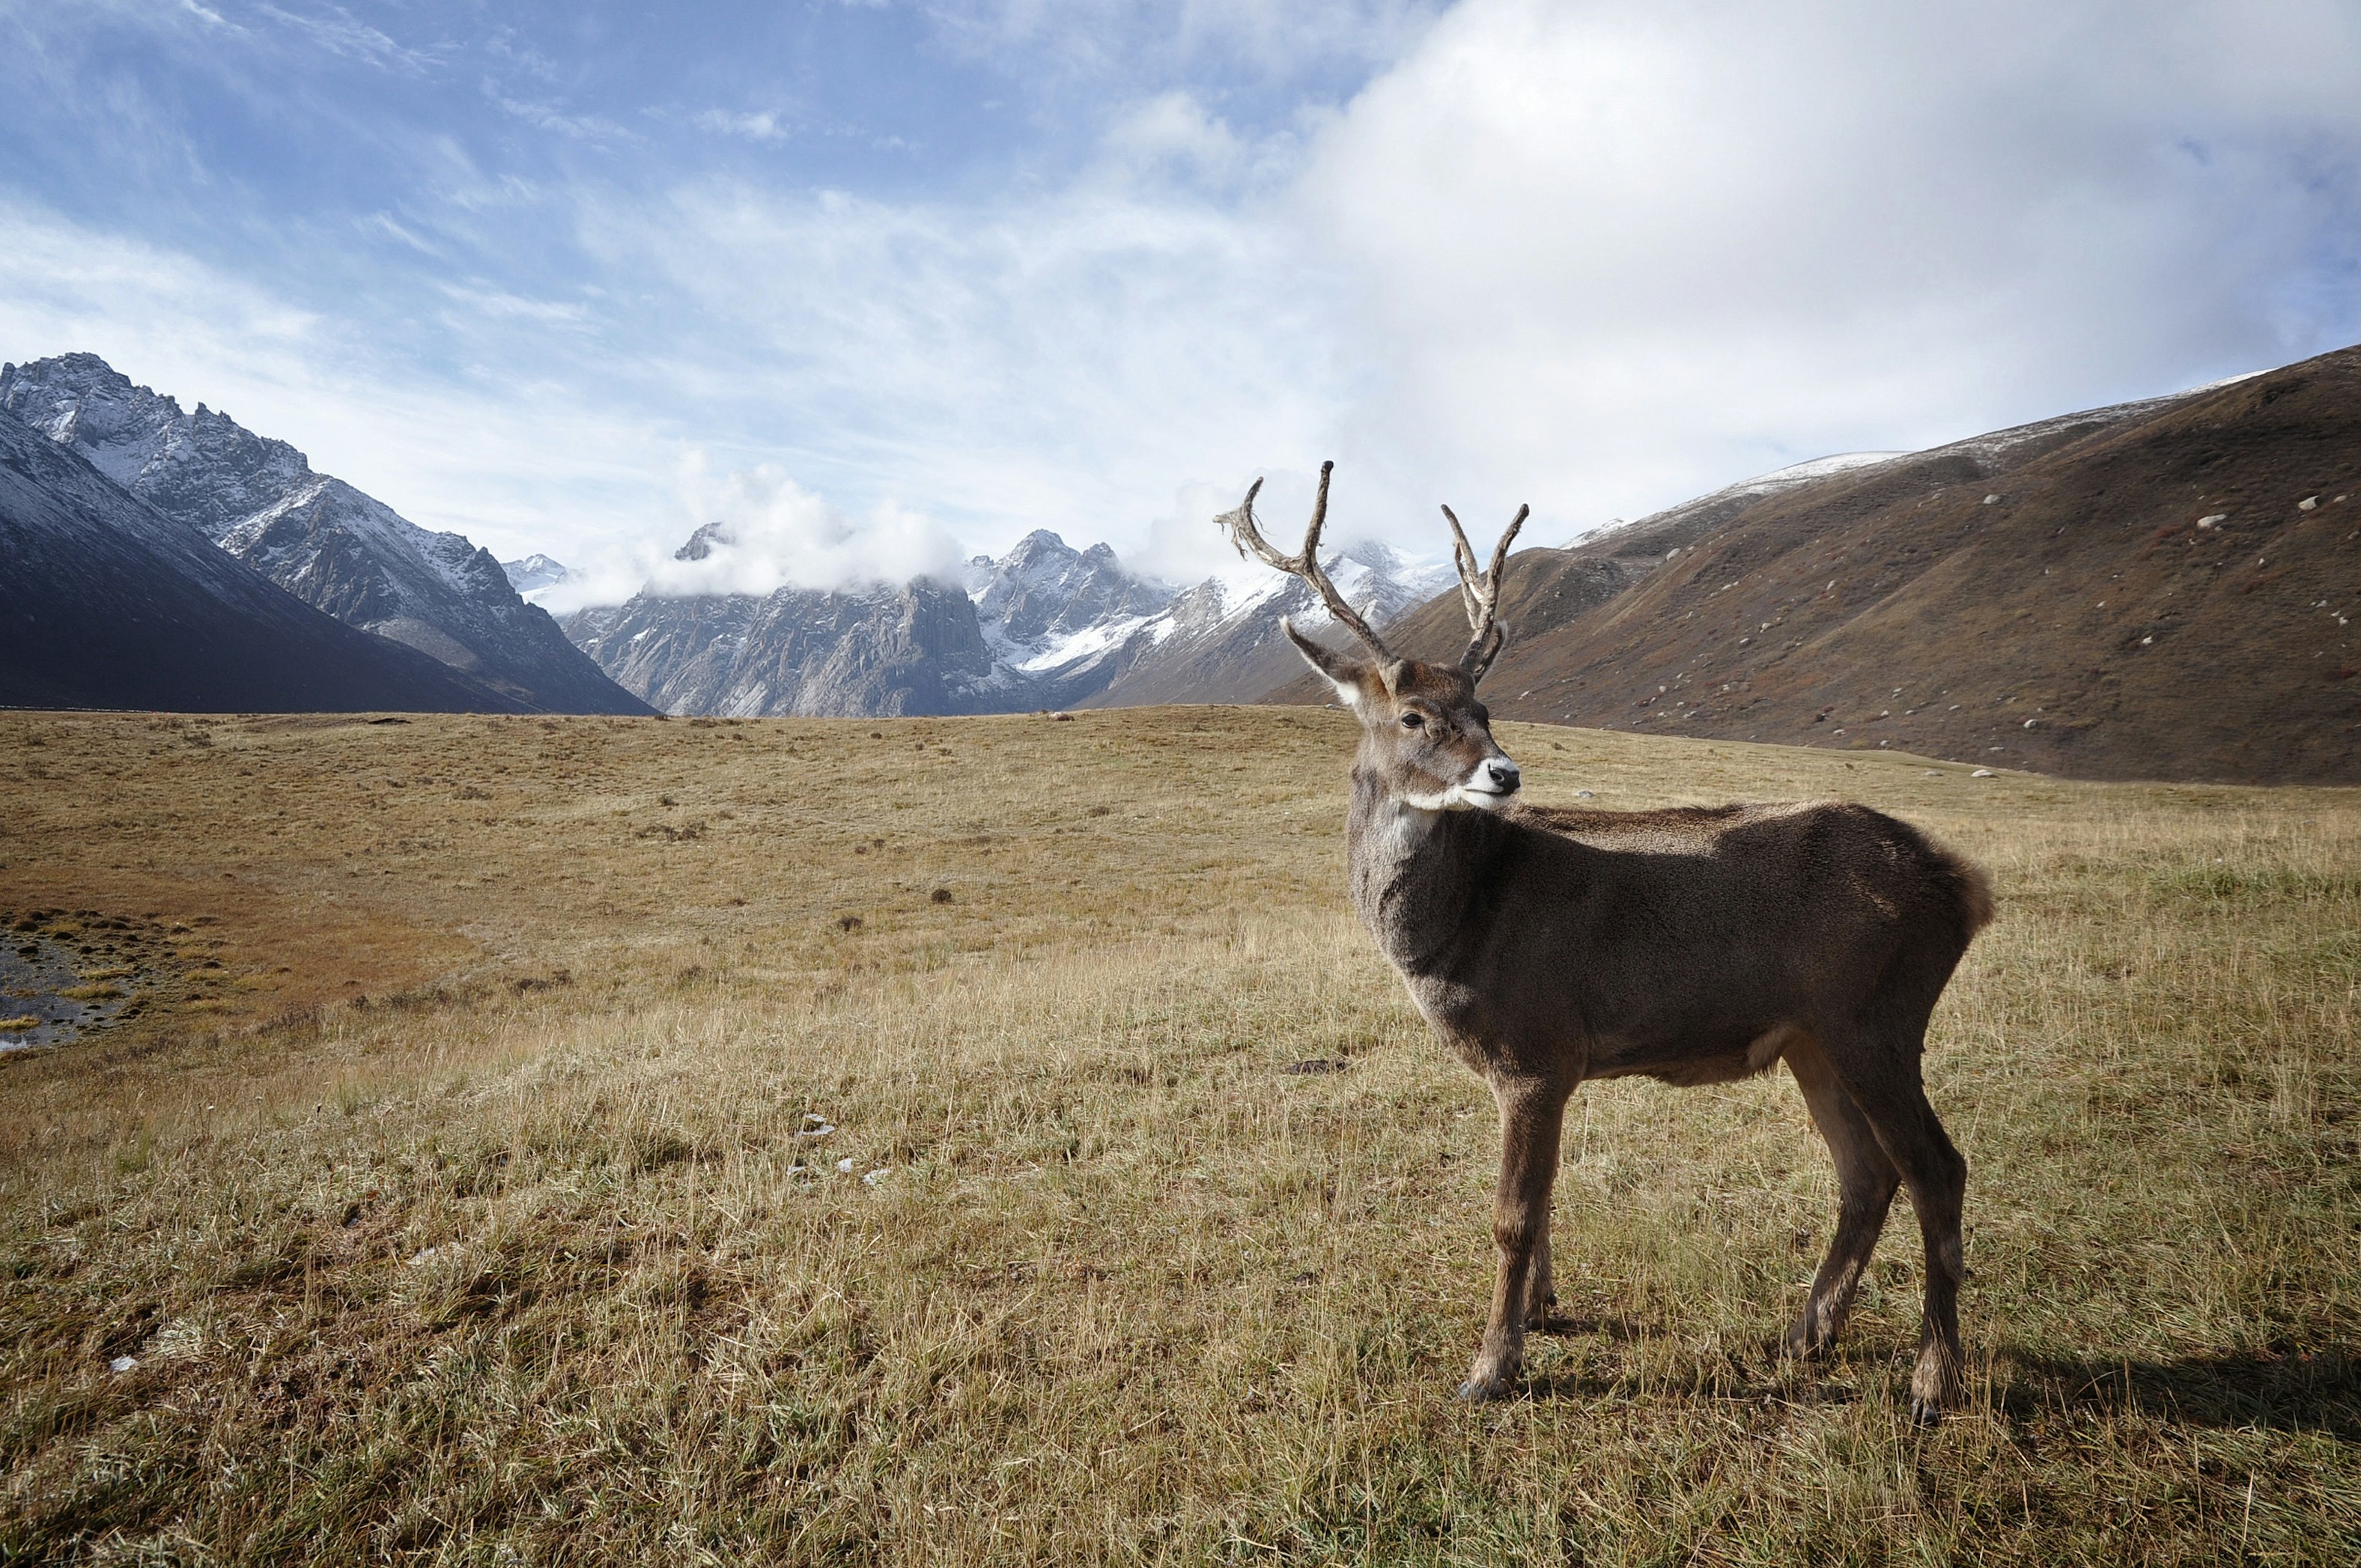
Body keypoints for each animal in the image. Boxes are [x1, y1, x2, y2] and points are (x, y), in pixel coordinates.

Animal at [1237, 455, 1993, 1417]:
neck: (1458, 929)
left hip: (1879, 1015)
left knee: (1938, 1168)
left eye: (1486, 706)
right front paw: (1543, 1311)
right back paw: (1806, 1334)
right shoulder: (1541, 1068)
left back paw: (1933, 1378)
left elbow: (1512, 1216)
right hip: (1815, 1037)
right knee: (1868, 1172)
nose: (1504, 772)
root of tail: (1966, 887)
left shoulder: (1536, 1047)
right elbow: (1543, 1203)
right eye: (1413, 716)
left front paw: (1490, 1368)